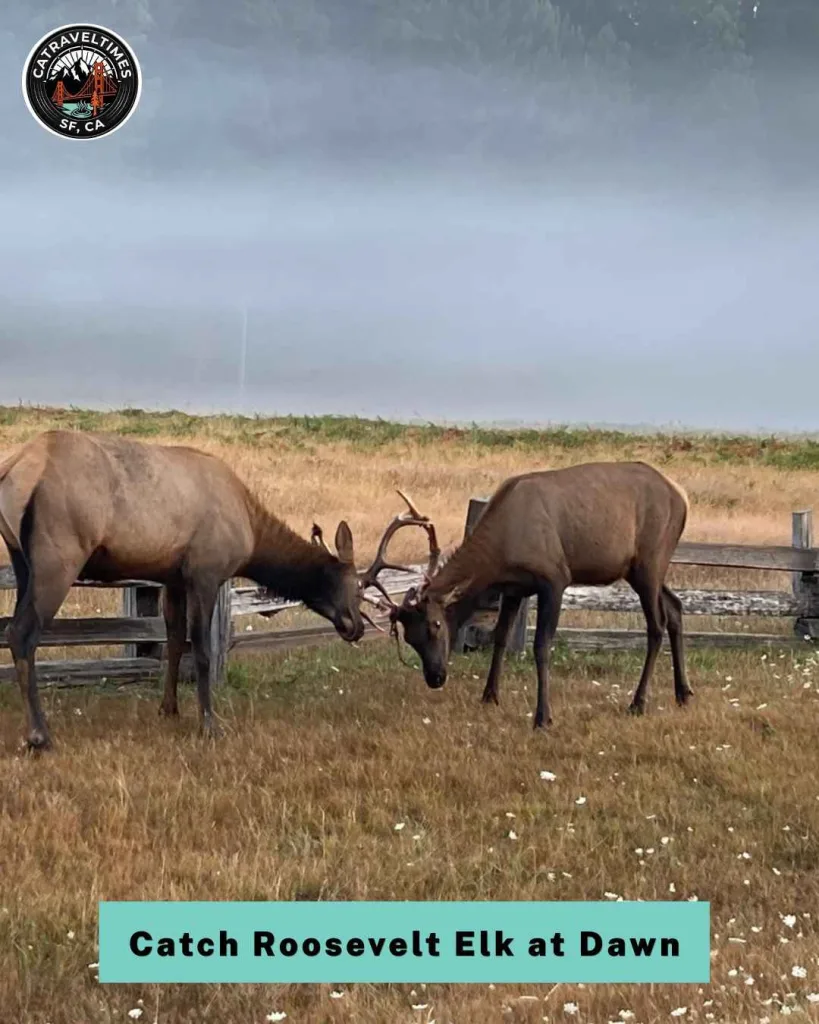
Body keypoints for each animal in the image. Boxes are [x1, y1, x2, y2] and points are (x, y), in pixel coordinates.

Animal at [0, 429, 368, 752]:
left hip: (21, 560)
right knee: (22, 632)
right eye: (357, 587)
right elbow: (202, 651)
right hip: (59, 555)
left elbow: (174, 641)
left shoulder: (173, 578)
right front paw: (209, 723)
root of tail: (14, 468)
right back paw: (40, 735)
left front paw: (169, 708)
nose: (357, 626)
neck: (251, 535)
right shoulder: (205, 573)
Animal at [361, 462, 693, 729]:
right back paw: (684, 693)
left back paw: (638, 703)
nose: (435, 677)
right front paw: (489, 695)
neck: (501, 553)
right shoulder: (513, 588)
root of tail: (683, 496)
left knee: (656, 625)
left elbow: (541, 646)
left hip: (650, 560)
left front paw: (543, 717)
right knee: (675, 607)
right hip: (640, 570)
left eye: (437, 625)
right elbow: (500, 637)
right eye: (409, 638)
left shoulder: (555, 578)